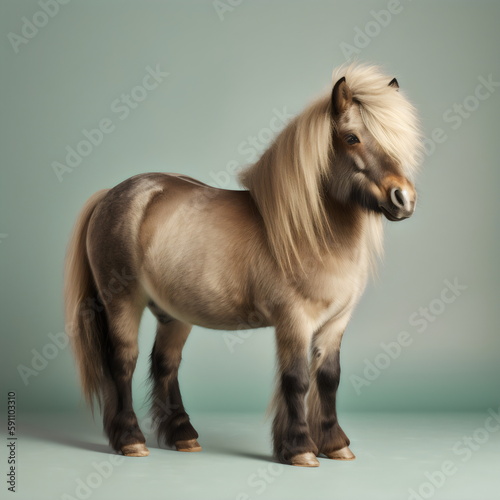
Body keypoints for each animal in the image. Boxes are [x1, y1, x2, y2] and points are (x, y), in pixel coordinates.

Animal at [64, 64, 420, 466]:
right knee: (123, 363)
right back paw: (131, 440)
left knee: (165, 363)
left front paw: (335, 444)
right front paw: (300, 448)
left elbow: (329, 378)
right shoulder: (294, 321)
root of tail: (111, 194)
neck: (307, 232)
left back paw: (183, 435)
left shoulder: (335, 324)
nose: (403, 198)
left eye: (397, 141)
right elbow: (297, 379)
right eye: (351, 138)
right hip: (123, 302)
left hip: (173, 314)